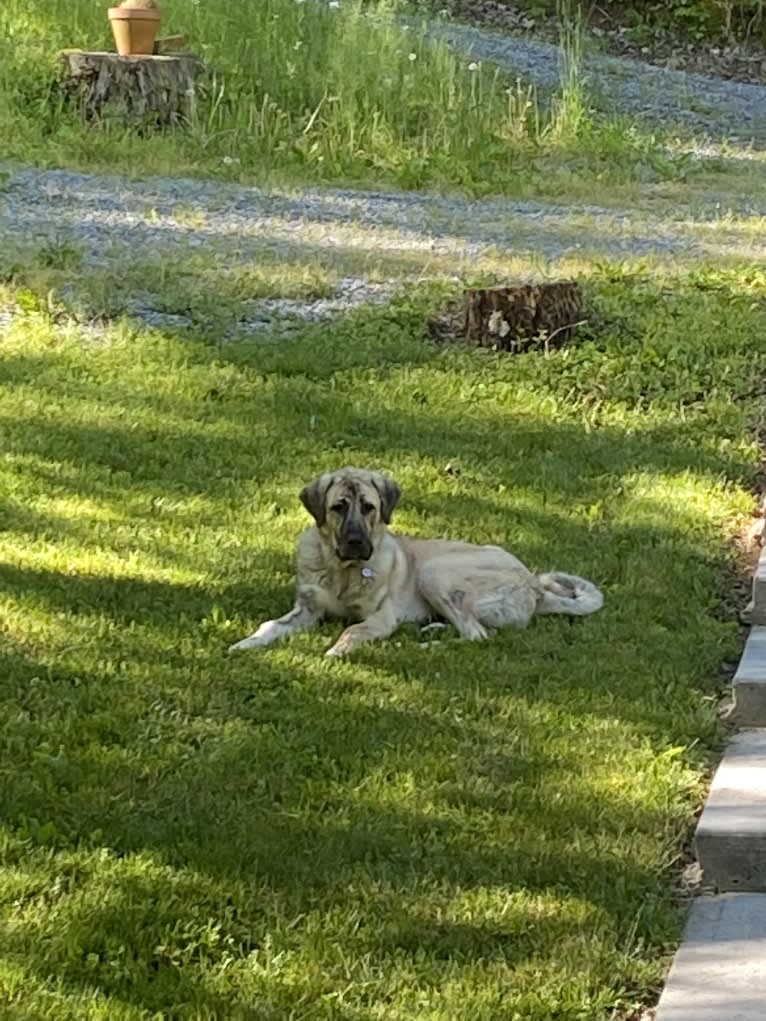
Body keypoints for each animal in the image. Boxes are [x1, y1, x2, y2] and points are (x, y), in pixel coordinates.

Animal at [229, 467, 604, 657]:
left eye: (368, 507)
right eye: (338, 507)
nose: (355, 542)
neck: (341, 572)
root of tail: (534, 586)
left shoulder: (381, 617)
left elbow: (353, 628)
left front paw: (337, 650)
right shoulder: (306, 609)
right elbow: (270, 626)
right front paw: (245, 644)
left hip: (434, 572)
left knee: (477, 635)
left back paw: (425, 643)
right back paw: (433, 628)